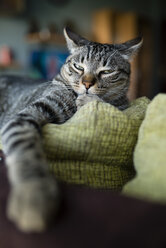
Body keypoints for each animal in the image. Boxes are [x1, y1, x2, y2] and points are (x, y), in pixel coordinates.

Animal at [0, 27, 143, 232]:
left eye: (107, 71)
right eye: (78, 67)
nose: (87, 84)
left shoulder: (123, 109)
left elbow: (110, 105)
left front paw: (89, 100)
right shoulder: (26, 116)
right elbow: (27, 153)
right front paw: (33, 194)